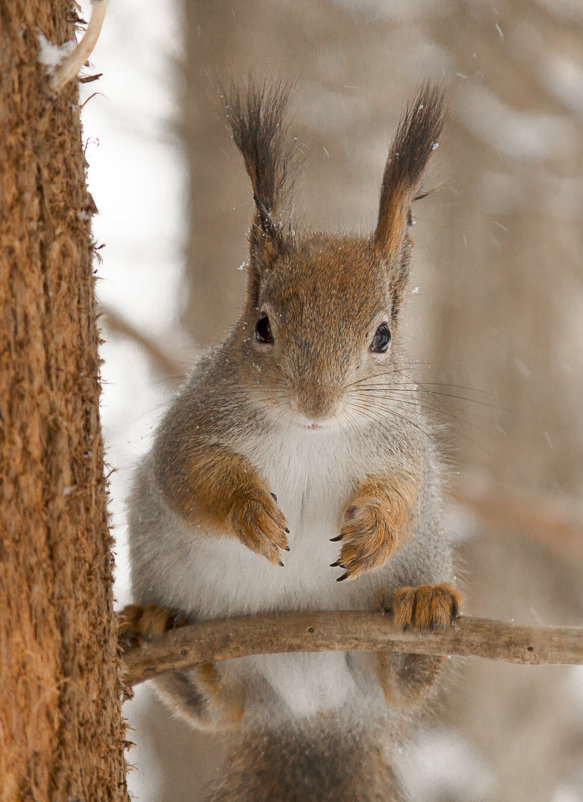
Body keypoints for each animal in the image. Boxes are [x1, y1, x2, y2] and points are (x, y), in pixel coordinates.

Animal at [125, 81, 464, 800]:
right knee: (216, 707)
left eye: (383, 336)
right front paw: (249, 513)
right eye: (260, 327)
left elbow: (404, 492)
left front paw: (373, 531)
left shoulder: (401, 444)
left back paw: (423, 611)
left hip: (400, 618)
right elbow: (190, 479)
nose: (317, 404)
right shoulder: (194, 427)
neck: (311, 438)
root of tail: (313, 717)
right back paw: (161, 634)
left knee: (403, 686)